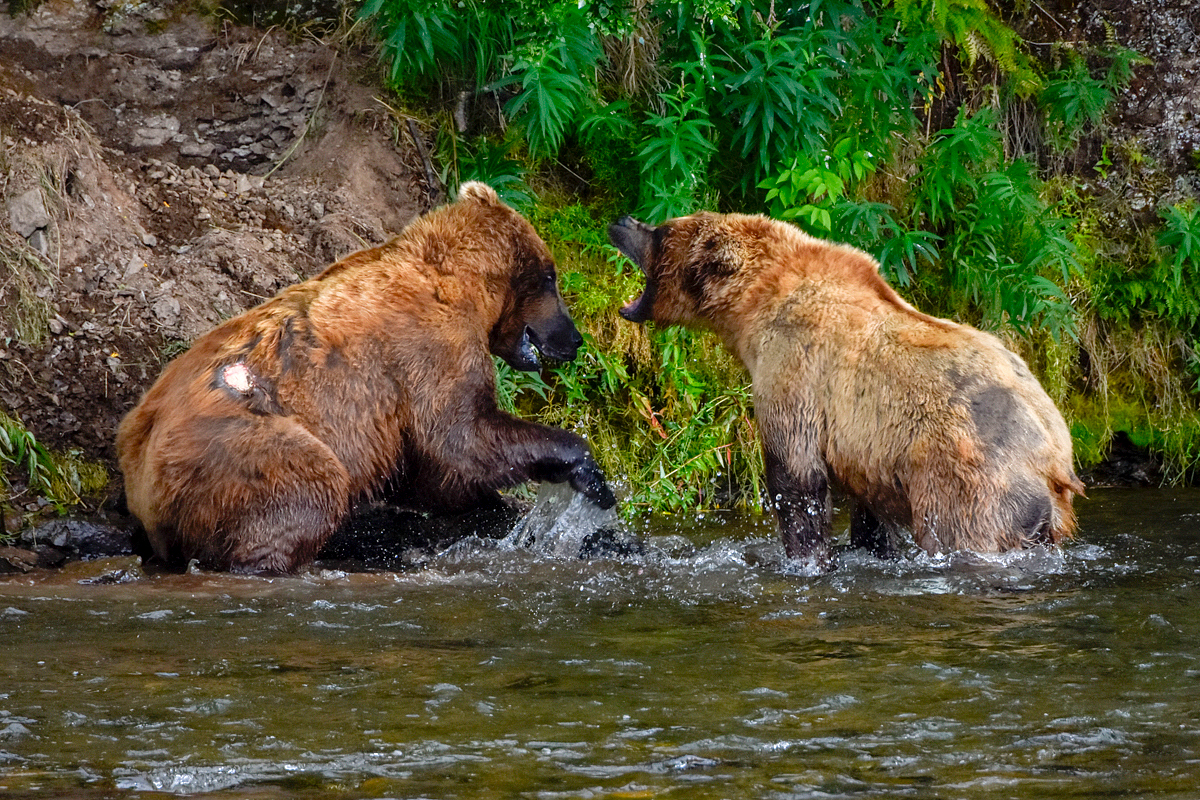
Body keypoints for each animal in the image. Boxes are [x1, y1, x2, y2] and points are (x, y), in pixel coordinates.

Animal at [115, 181, 614, 573]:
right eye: (551, 278)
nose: (574, 338)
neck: (466, 287)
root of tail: (138, 473)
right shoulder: (429, 349)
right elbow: (461, 438)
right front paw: (588, 471)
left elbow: (432, 472)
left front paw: (499, 507)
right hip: (235, 447)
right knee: (308, 486)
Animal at [609, 212, 1089, 573]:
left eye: (661, 232)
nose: (621, 220)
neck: (755, 308)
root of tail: (1053, 459)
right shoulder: (869, 452)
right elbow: (868, 512)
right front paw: (867, 546)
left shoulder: (795, 370)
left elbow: (796, 478)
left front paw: (807, 558)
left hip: (972, 486)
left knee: (960, 532)